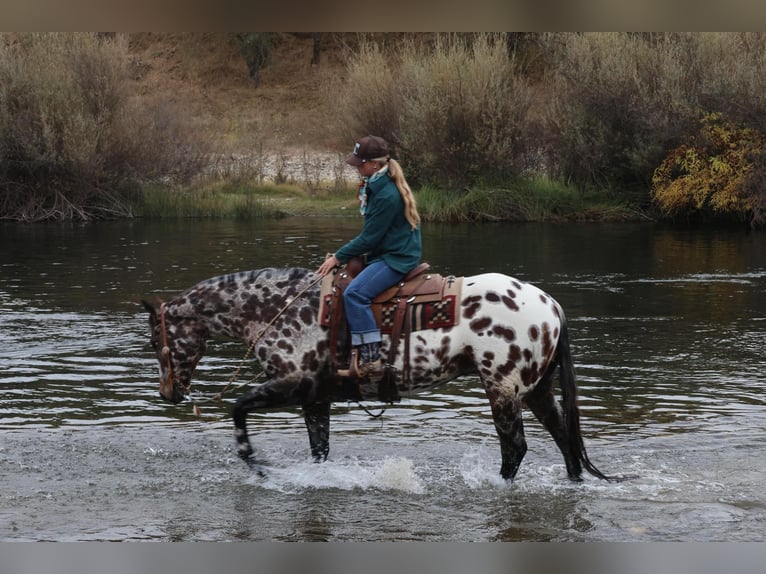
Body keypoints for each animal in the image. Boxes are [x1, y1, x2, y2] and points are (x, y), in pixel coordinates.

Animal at [142, 268, 624, 484]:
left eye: (153, 340)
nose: (168, 394)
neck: (276, 307)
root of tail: (550, 305)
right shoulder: (315, 399)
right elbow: (319, 450)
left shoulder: (293, 385)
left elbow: (239, 408)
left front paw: (254, 462)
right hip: (536, 388)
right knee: (565, 439)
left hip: (503, 389)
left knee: (516, 448)